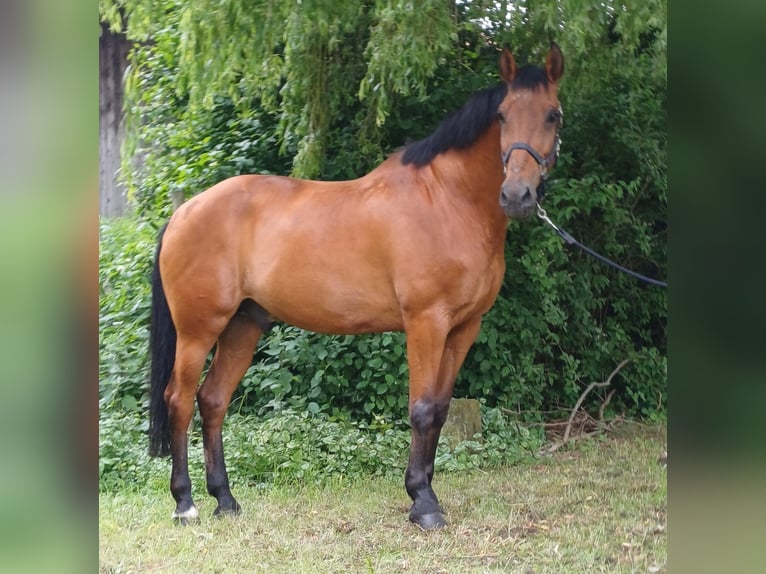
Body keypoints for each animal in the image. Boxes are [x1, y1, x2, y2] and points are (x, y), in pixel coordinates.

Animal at [148, 44, 564, 530]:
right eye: (501, 115)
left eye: (552, 115)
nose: (517, 196)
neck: (447, 200)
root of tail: (184, 212)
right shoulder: (426, 322)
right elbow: (421, 409)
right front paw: (422, 502)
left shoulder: (465, 328)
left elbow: (441, 410)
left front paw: (427, 492)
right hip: (198, 330)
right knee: (179, 400)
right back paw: (185, 503)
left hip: (243, 326)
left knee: (212, 401)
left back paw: (225, 500)